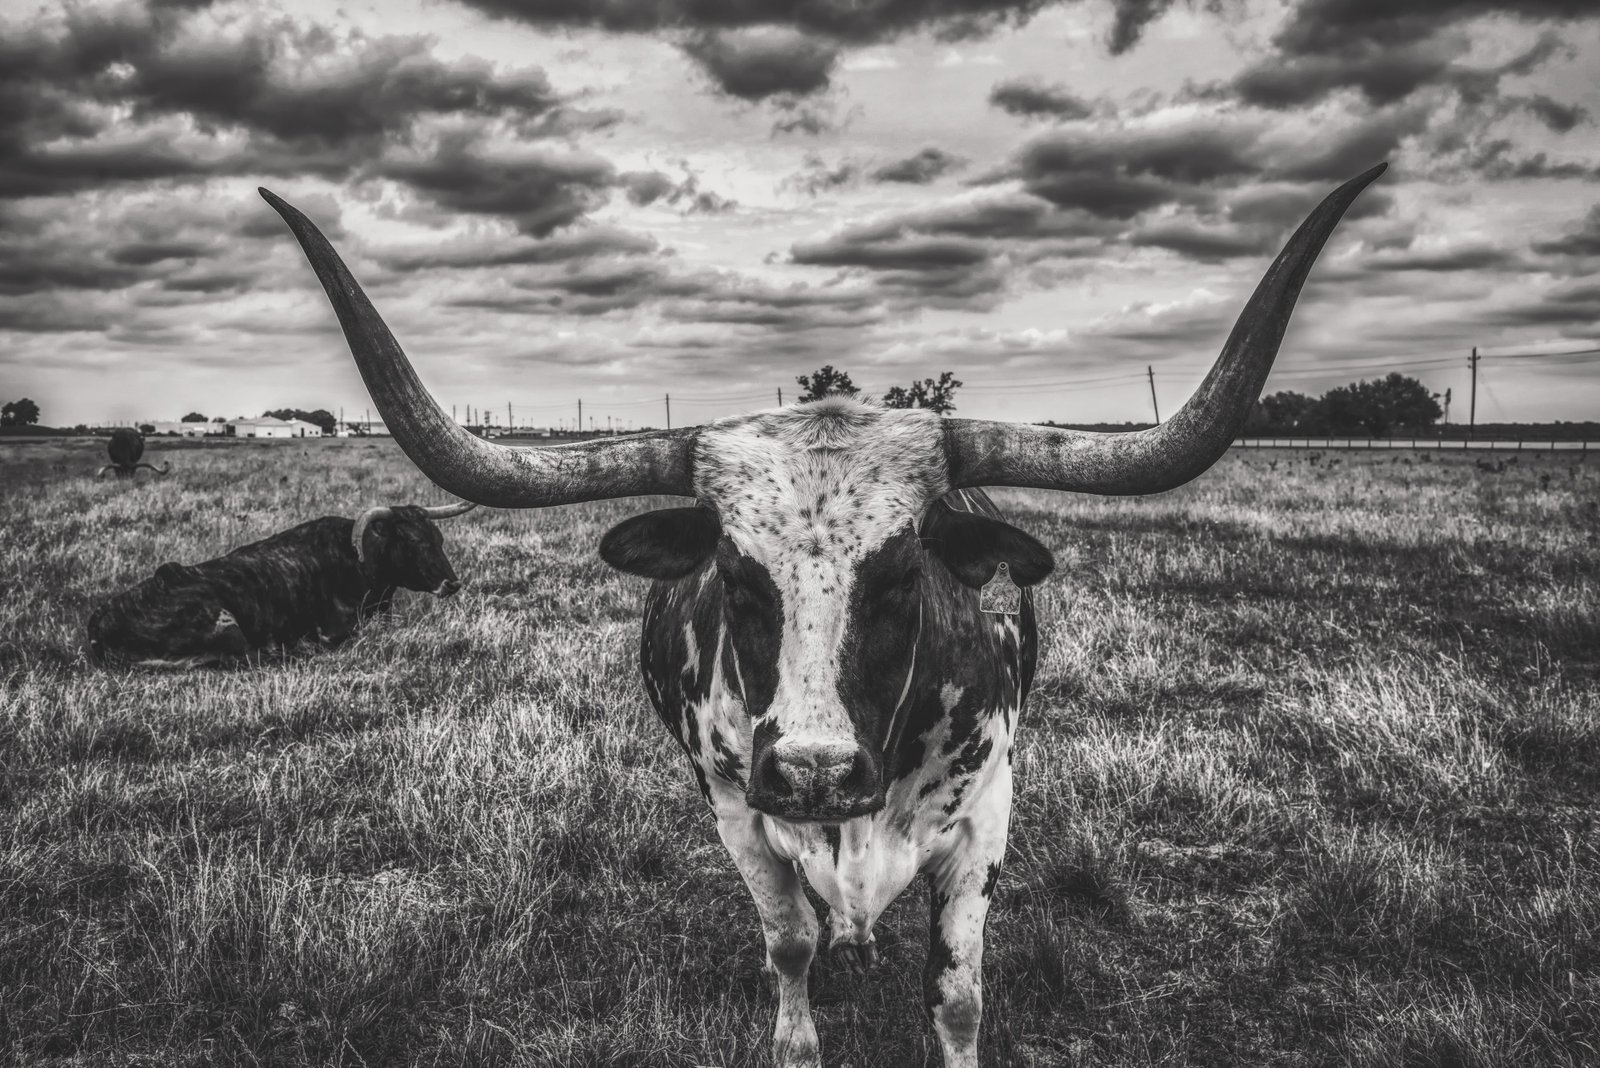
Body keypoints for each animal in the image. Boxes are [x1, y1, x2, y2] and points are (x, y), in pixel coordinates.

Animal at [87, 501, 475, 669]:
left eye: (437, 537)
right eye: (410, 541)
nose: (453, 583)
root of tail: (100, 617)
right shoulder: (335, 630)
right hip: (225, 623)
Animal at [260, 161, 1385, 1066]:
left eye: (902, 575)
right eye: (736, 576)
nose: (813, 771)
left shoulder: (987, 814)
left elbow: (959, 996)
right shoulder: (733, 806)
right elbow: (788, 941)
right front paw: (798, 1031)